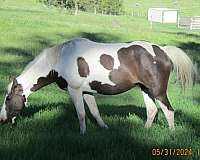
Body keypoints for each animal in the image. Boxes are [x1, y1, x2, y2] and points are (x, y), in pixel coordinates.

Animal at [0, 37, 197, 134]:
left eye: (8, 98)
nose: (2, 120)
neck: (61, 59)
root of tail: (162, 50)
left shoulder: (75, 91)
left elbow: (81, 114)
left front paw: (82, 134)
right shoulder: (87, 92)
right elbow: (95, 112)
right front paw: (104, 129)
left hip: (158, 91)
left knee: (168, 110)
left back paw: (172, 134)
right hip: (145, 89)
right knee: (152, 110)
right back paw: (145, 131)